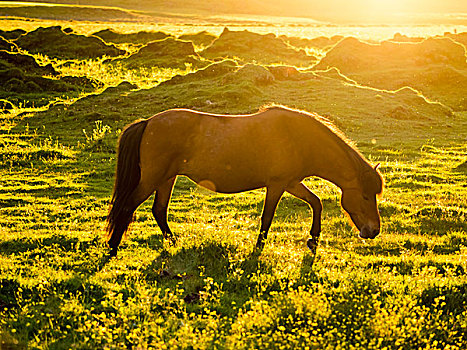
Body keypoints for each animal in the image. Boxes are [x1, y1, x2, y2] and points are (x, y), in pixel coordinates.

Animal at [106, 104, 384, 258]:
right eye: (366, 195)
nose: (373, 231)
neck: (299, 138)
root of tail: (149, 122)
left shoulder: (292, 182)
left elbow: (316, 203)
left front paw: (313, 240)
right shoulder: (278, 184)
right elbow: (267, 217)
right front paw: (259, 248)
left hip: (167, 178)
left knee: (159, 210)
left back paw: (173, 242)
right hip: (153, 178)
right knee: (128, 206)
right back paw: (112, 247)